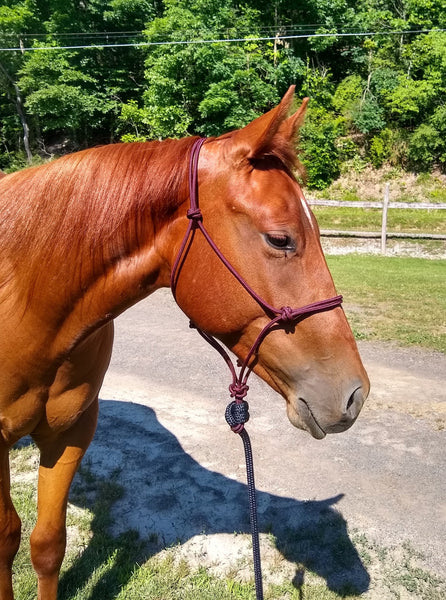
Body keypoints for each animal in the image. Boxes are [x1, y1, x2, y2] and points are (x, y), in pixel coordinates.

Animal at [0, 85, 370, 600]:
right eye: (280, 239)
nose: (355, 394)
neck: (29, 296)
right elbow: (6, 539)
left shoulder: (71, 432)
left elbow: (48, 543)